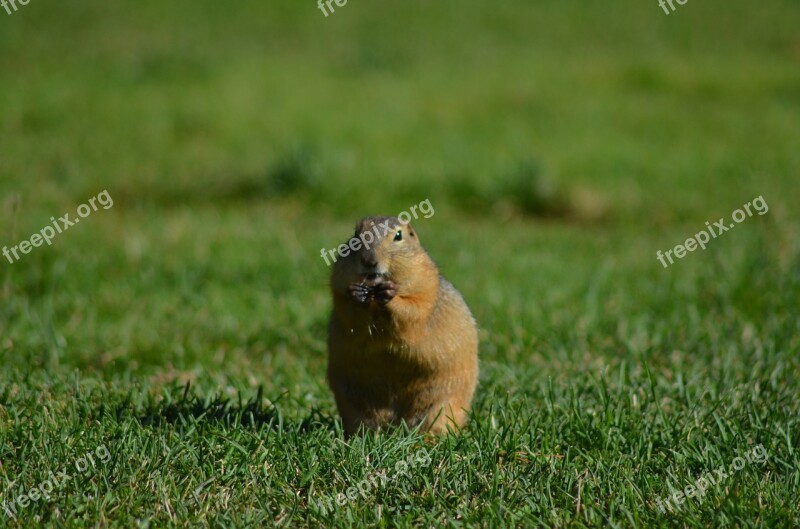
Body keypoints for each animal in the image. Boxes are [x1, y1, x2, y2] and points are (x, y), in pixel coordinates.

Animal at [326, 214, 478, 434]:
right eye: (355, 234)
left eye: (398, 235)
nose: (369, 262)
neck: (374, 299)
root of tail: (397, 422)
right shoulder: (339, 282)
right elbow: (346, 308)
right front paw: (357, 294)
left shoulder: (425, 282)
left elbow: (414, 309)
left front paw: (390, 294)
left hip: (442, 403)